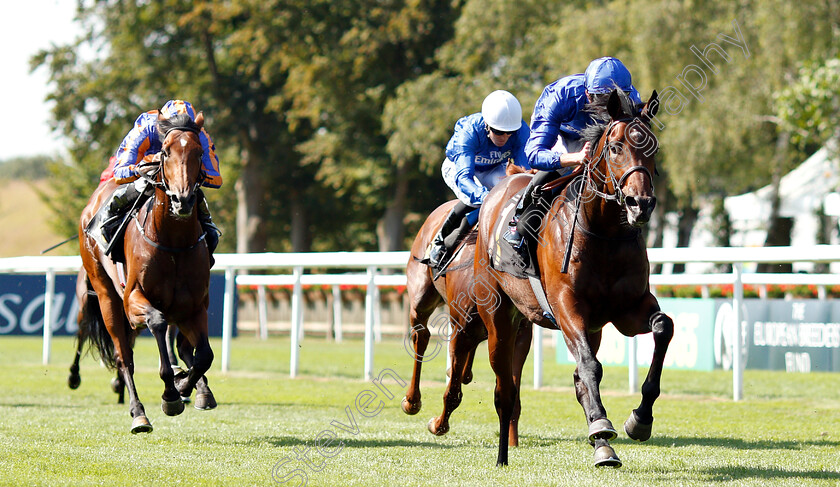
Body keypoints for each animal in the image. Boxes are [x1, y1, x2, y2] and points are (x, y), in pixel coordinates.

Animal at [77, 111, 218, 434]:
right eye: (164, 152)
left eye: (199, 152)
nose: (182, 200)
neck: (173, 242)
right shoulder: (132, 301)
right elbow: (157, 322)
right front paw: (171, 394)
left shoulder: (195, 307)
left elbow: (204, 355)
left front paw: (185, 386)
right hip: (106, 297)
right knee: (124, 358)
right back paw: (139, 413)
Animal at [404, 173, 528, 446]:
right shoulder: (463, 325)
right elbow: (452, 393)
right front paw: (439, 425)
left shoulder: (520, 335)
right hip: (421, 296)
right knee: (421, 335)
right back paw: (412, 400)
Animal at [476, 90, 672, 468]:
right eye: (616, 147)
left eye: (653, 148)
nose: (640, 204)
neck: (604, 232)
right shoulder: (566, 306)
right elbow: (589, 366)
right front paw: (602, 424)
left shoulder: (628, 310)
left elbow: (662, 327)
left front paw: (639, 420)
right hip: (499, 317)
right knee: (505, 389)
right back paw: (503, 457)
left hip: (589, 326)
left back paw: (603, 446)